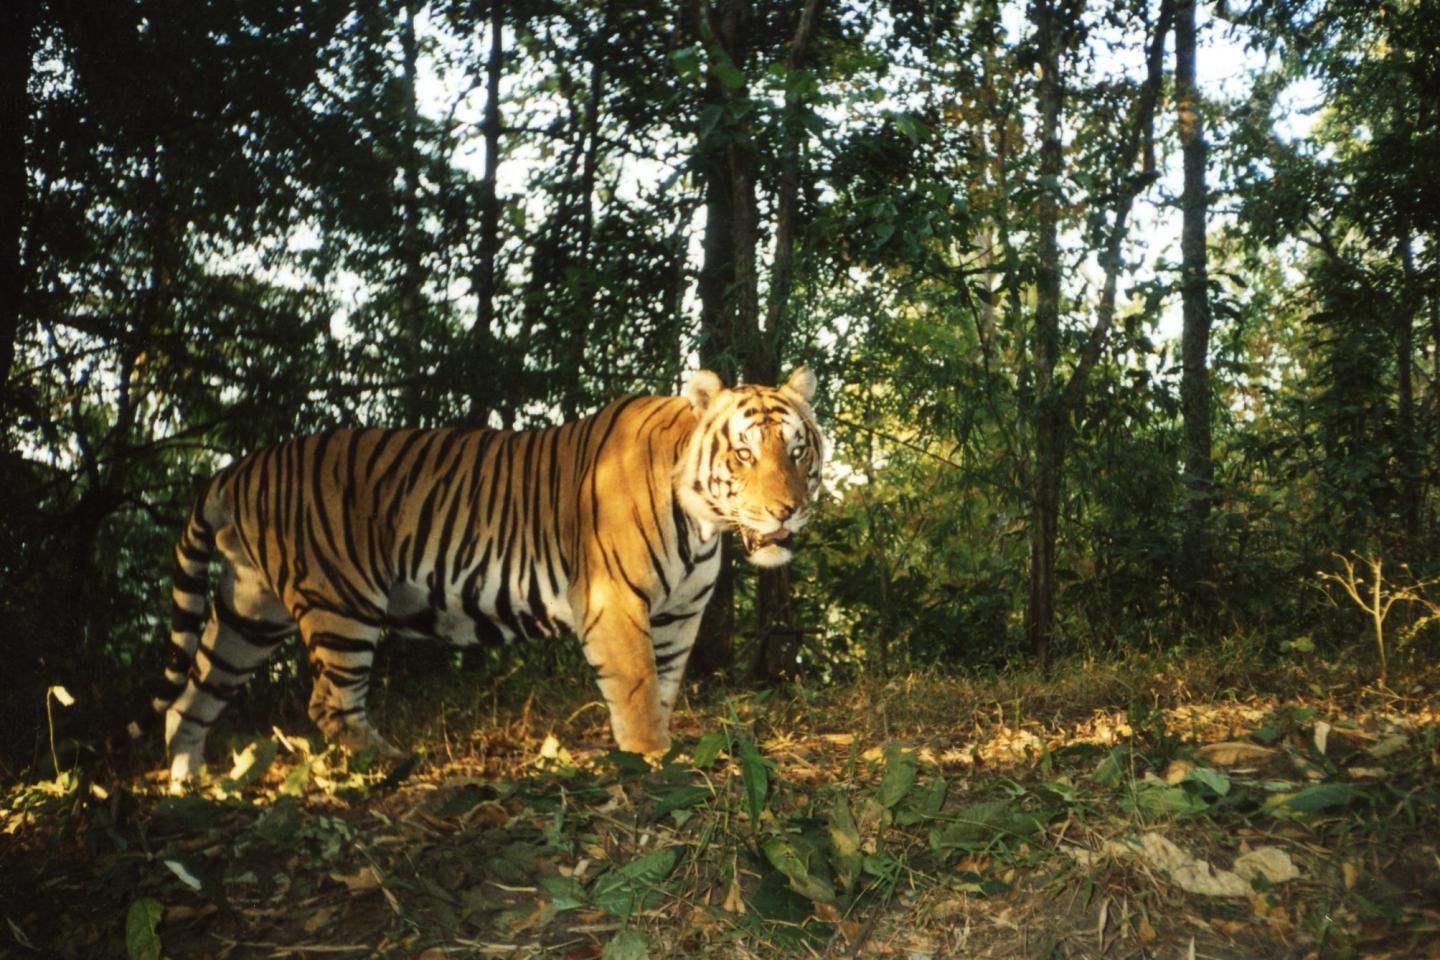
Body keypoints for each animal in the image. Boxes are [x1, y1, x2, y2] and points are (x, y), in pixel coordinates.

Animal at [156, 365, 823, 782]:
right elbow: (636, 691)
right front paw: (654, 757)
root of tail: (238, 467)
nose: (787, 510)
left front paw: (656, 746)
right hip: (339, 602)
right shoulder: (615, 604)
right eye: (744, 453)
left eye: (797, 450)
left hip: (250, 613)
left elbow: (661, 687)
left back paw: (188, 787)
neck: (703, 526)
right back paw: (393, 762)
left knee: (189, 698)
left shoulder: (680, 616)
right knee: (329, 704)